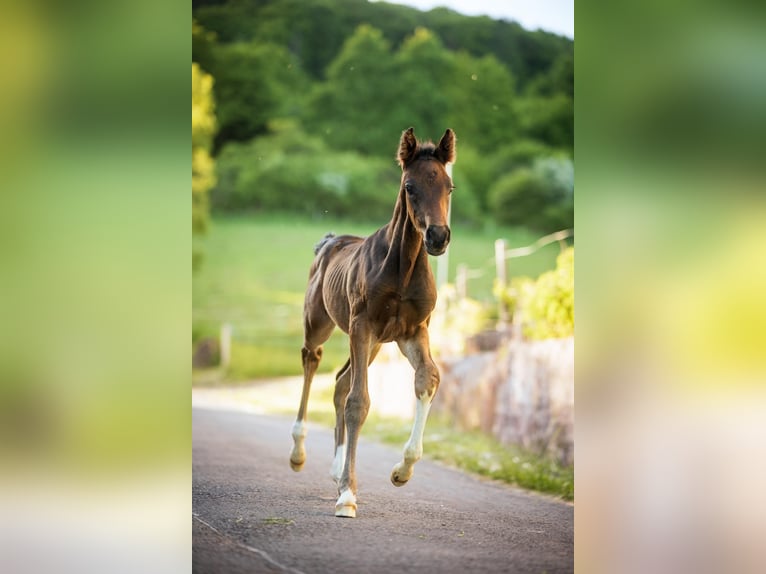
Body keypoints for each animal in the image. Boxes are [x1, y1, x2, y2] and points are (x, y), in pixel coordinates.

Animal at [289, 127, 457, 518]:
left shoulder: (412, 331)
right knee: (311, 362)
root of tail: (329, 241)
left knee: (338, 382)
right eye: (410, 186)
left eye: (449, 186)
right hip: (323, 325)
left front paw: (401, 471)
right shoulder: (362, 325)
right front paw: (348, 496)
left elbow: (428, 379)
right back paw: (299, 454)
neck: (403, 268)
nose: (438, 237)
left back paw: (336, 471)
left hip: (376, 343)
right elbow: (359, 402)